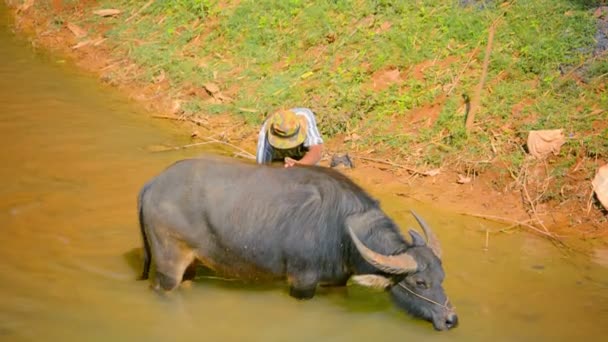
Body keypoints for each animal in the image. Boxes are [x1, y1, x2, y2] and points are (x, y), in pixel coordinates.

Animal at [138, 155, 458, 332]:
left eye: (442, 277)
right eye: (419, 283)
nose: (451, 319)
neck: (341, 230)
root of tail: (152, 185)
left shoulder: (336, 281)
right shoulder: (302, 282)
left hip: (191, 263)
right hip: (168, 264)